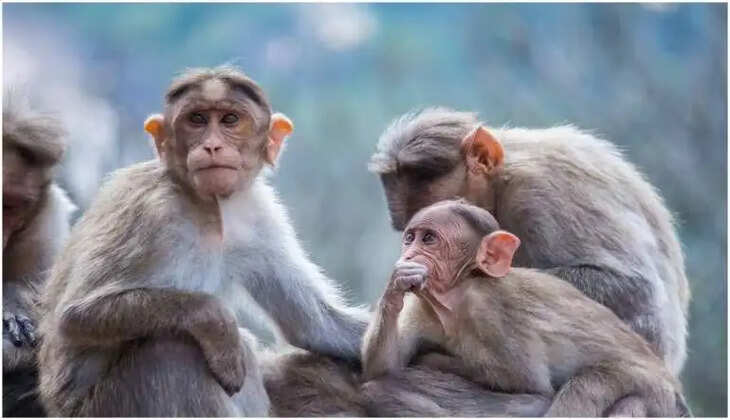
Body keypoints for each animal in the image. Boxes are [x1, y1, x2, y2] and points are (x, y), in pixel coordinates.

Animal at [37, 66, 369, 416]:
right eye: (196, 119)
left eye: (230, 120)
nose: (211, 146)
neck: (208, 208)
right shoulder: (150, 214)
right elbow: (75, 315)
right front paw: (216, 322)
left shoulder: (260, 216)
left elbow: (314, 326)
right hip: (106, 406)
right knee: (171, 349)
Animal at [361, 199, 689, 417]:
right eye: (410, 237)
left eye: (428, 239)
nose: (409, 254)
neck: (458, 294)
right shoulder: (421, 307)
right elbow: (384, 365)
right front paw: (396, 284)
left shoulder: (493, 313)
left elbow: (527, 384)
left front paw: (435, 360)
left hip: (654, 392)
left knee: (588, 387)